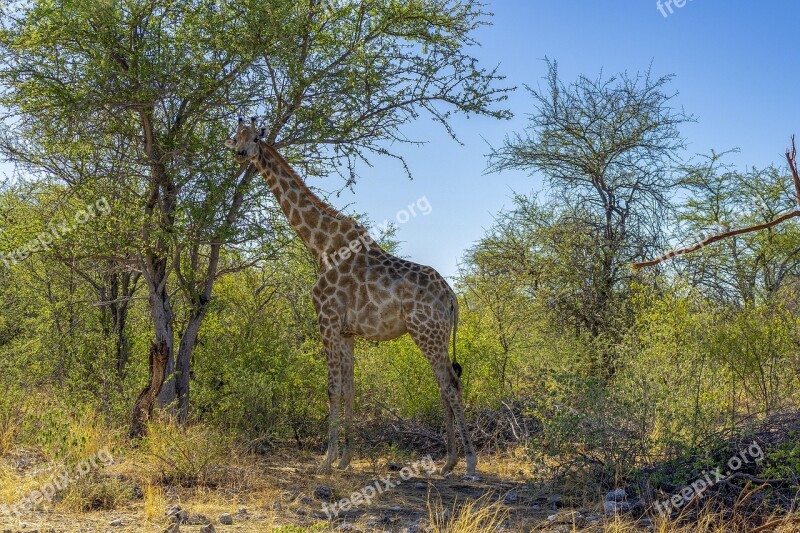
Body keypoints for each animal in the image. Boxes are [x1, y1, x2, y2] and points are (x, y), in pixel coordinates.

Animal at [223, 118, 476, 476]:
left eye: (256, 138)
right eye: (237, 137)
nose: (242, 154)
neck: (320, 246)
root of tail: (452, 297)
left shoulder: (326, 321)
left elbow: (332, 388)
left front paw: (326, 461)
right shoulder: (346, 331)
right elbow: (349, 389)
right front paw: (345, 458)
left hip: (426, 331)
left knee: (451, 384)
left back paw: (469, 462)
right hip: (434, 334)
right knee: (444, 383)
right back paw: (449, 461)